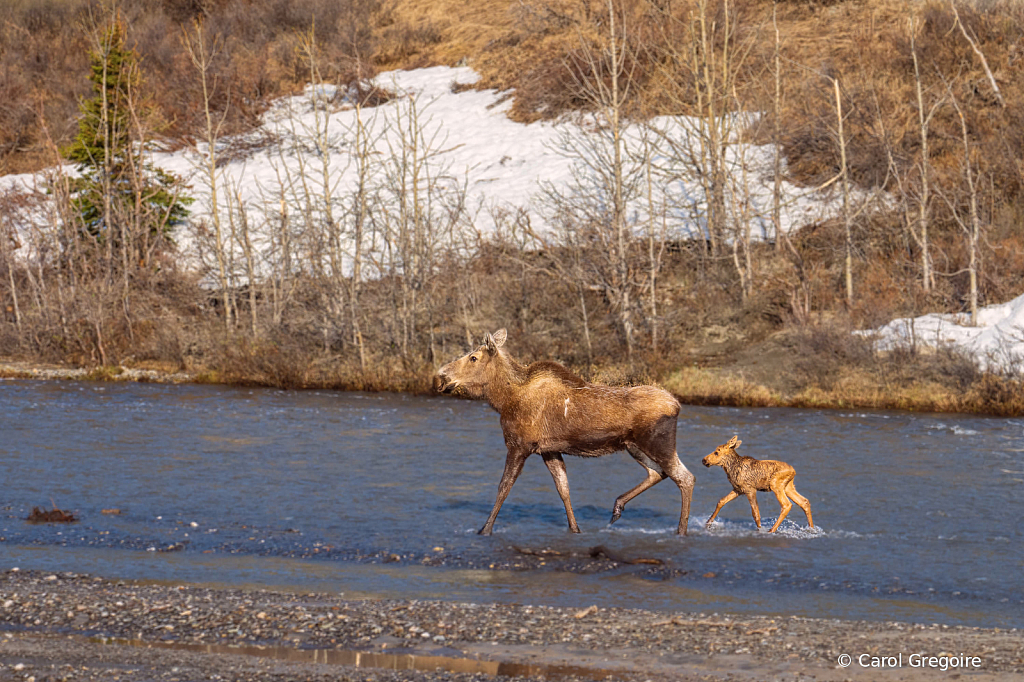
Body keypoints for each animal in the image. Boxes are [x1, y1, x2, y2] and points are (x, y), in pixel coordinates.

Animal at [434, 327, 696, 532]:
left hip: (657, 442)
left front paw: (484, 529)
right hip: (633, 446)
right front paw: (575, 528)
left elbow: (504, 487)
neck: (504, 400)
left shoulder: (519, 445)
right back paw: (618, 507)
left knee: (685, 477)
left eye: (473, 357)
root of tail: (677, 404)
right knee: (658, 473)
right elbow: (564, 489)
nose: (440, 377)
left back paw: (680, 531)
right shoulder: (549, 450)